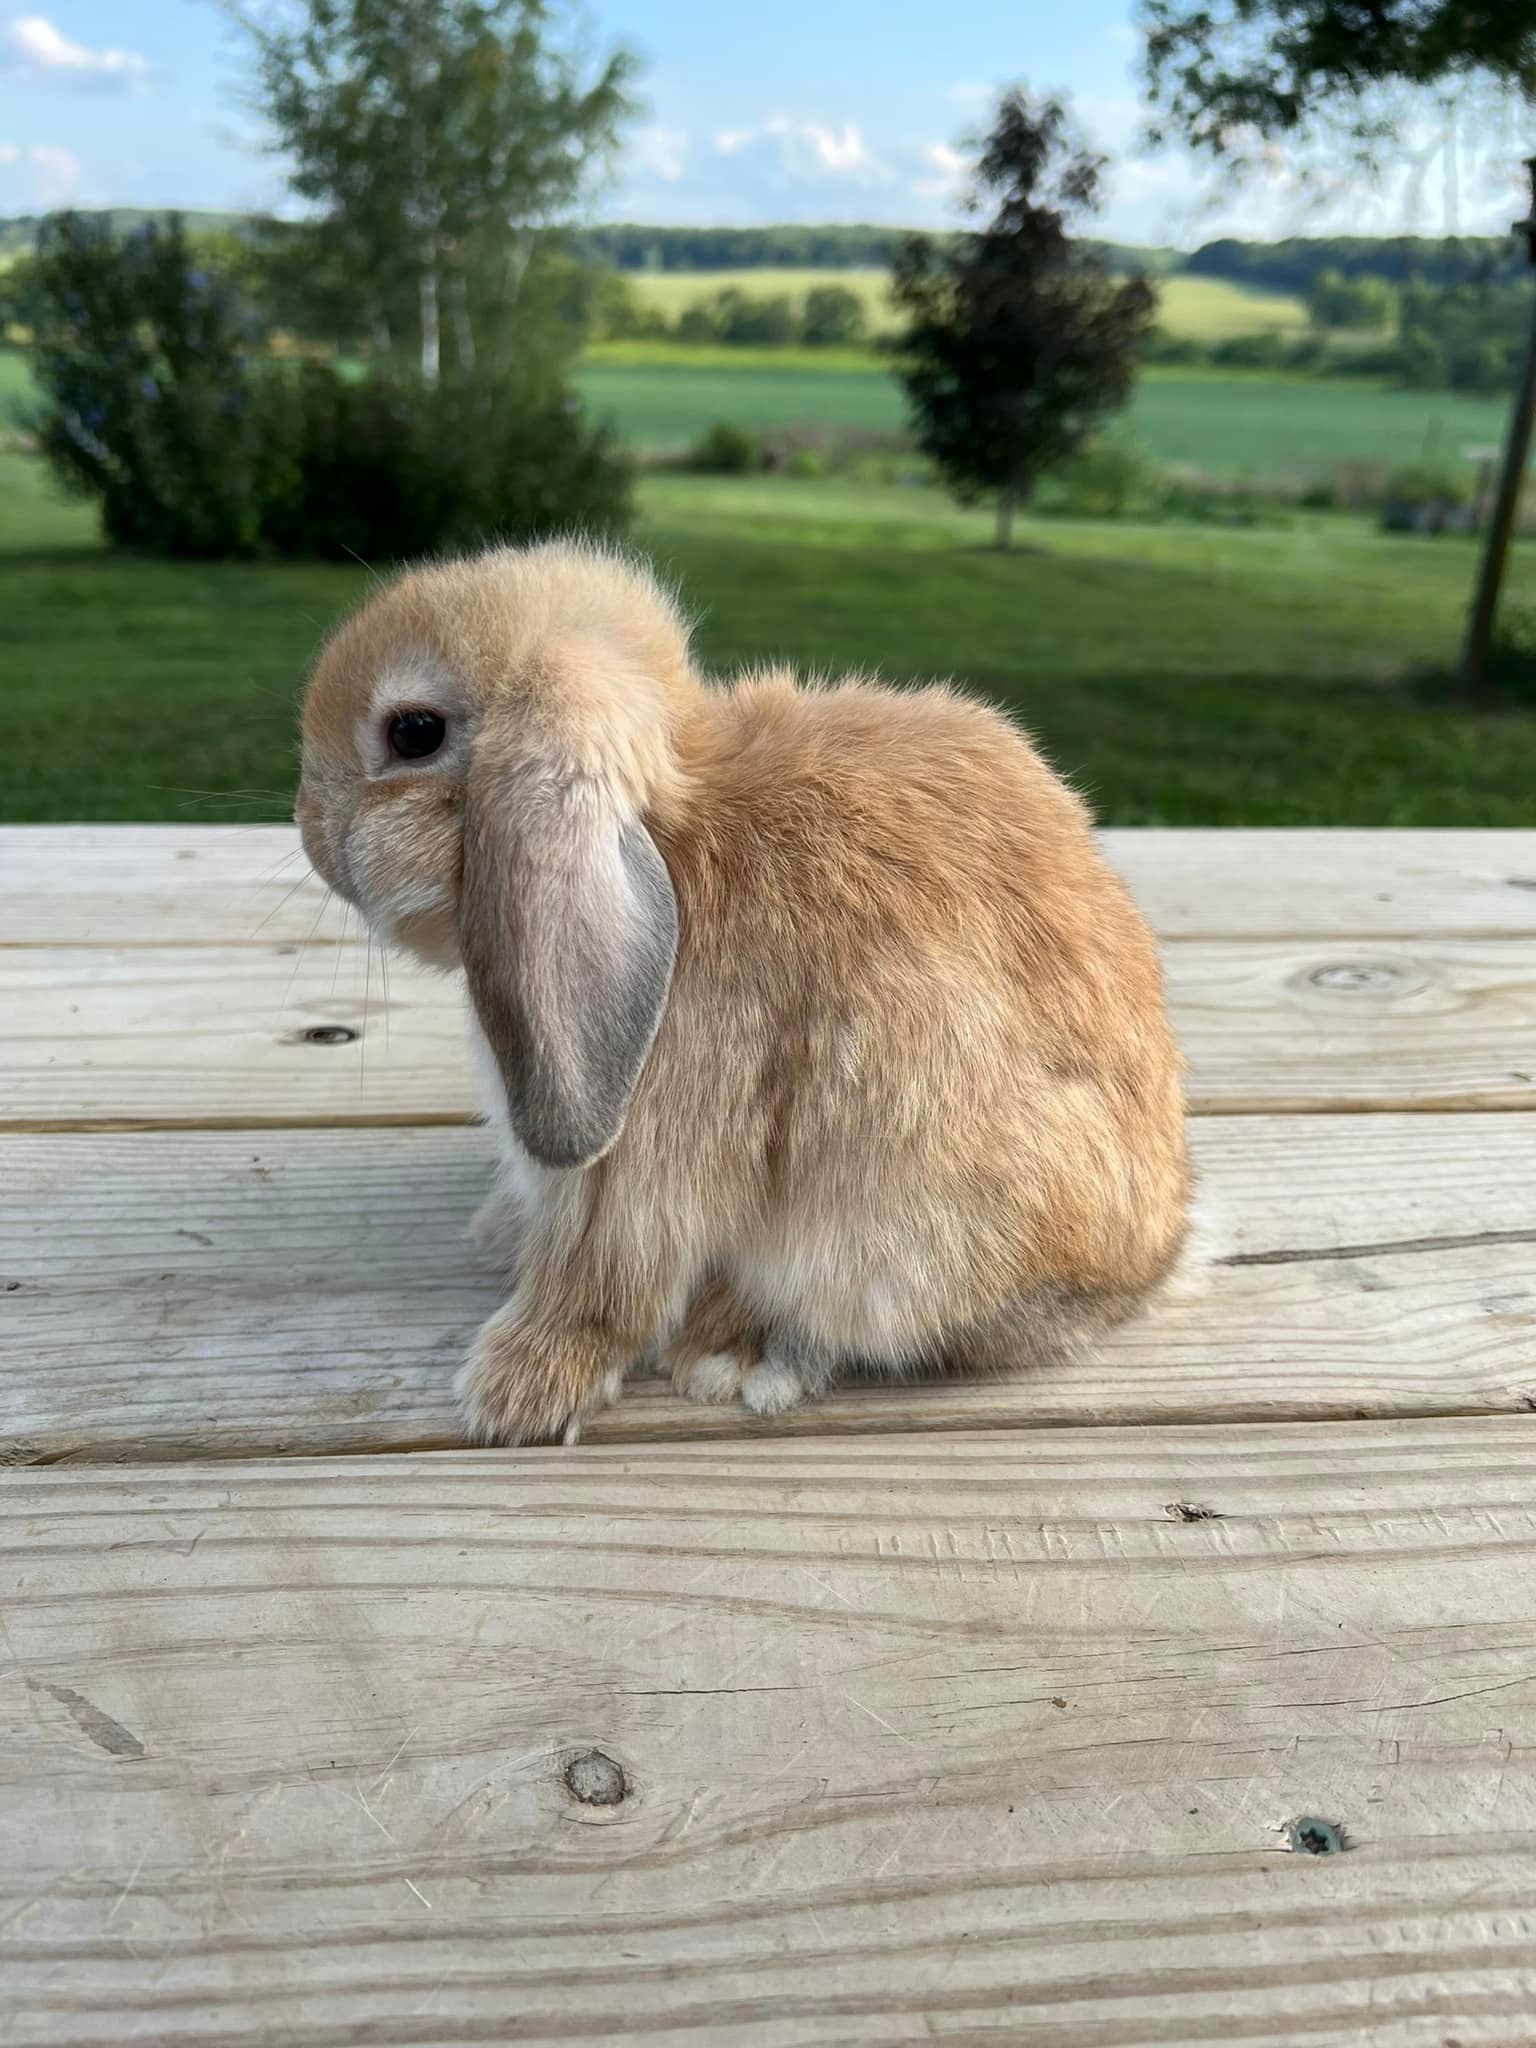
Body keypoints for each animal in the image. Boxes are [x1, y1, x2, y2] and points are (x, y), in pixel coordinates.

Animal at [296, 539, 1190, 1445]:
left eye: (413, 732)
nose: (311, 836)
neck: (669, 839)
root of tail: (1150, 1266)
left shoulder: (646, 1167)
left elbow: (603, 1285)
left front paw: (515, 1392)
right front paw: (498, 1235)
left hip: (894, 1237)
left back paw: (739, 1352)